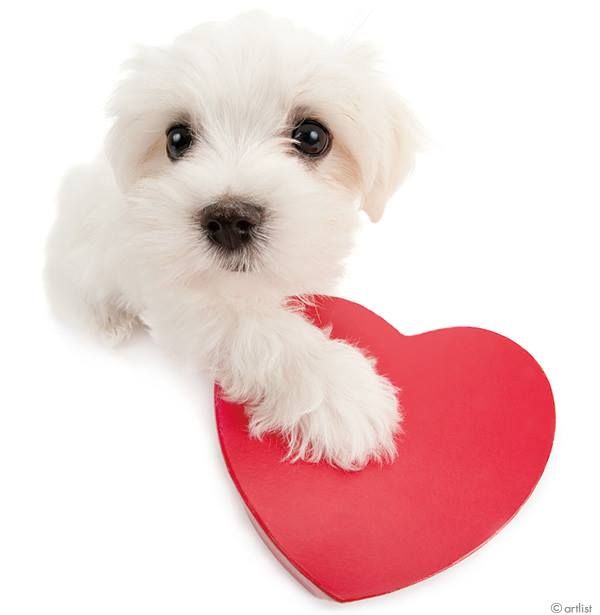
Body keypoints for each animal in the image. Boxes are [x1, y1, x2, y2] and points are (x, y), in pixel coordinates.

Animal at [45, 10, 418, 472]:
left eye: (312, 137)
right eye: (177, 139)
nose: (228, 220)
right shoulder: (176, 295)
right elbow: (256, 331)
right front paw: (338, 386)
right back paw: (110, 322)